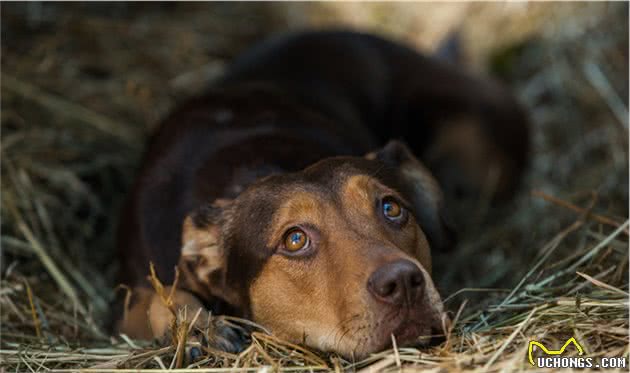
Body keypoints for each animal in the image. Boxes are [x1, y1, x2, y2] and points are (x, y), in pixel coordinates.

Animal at [113, 31, 528, 358]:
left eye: (392, 208)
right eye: (295, 240)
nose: (403, 283)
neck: (257, 162)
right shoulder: (128, 298)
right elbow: (155, 297)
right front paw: (200, 327)